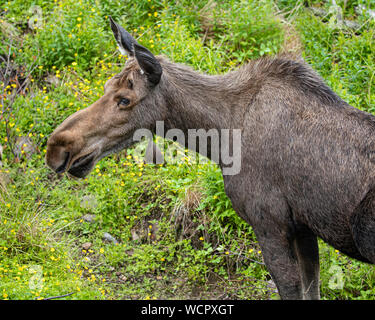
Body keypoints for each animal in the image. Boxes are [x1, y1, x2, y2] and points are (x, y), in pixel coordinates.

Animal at [47, 16, 375, 298]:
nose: (57, 147)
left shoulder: (269, 223)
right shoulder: (303, 228)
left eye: (124, 100)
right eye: (105, 87)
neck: (219, 137)